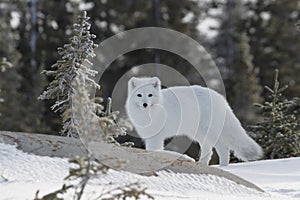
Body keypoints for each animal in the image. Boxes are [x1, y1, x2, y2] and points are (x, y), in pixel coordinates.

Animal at [125, 76, 264, 166]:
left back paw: (223, 167)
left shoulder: (156, 137)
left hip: (209, 132)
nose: (145, 104)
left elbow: (155, 150)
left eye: (150, 95)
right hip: (198, 134)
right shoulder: (149, 136)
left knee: (224, 150)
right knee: (208, 150)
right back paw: (202, 165)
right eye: (139, 95)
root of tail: (221, 99)